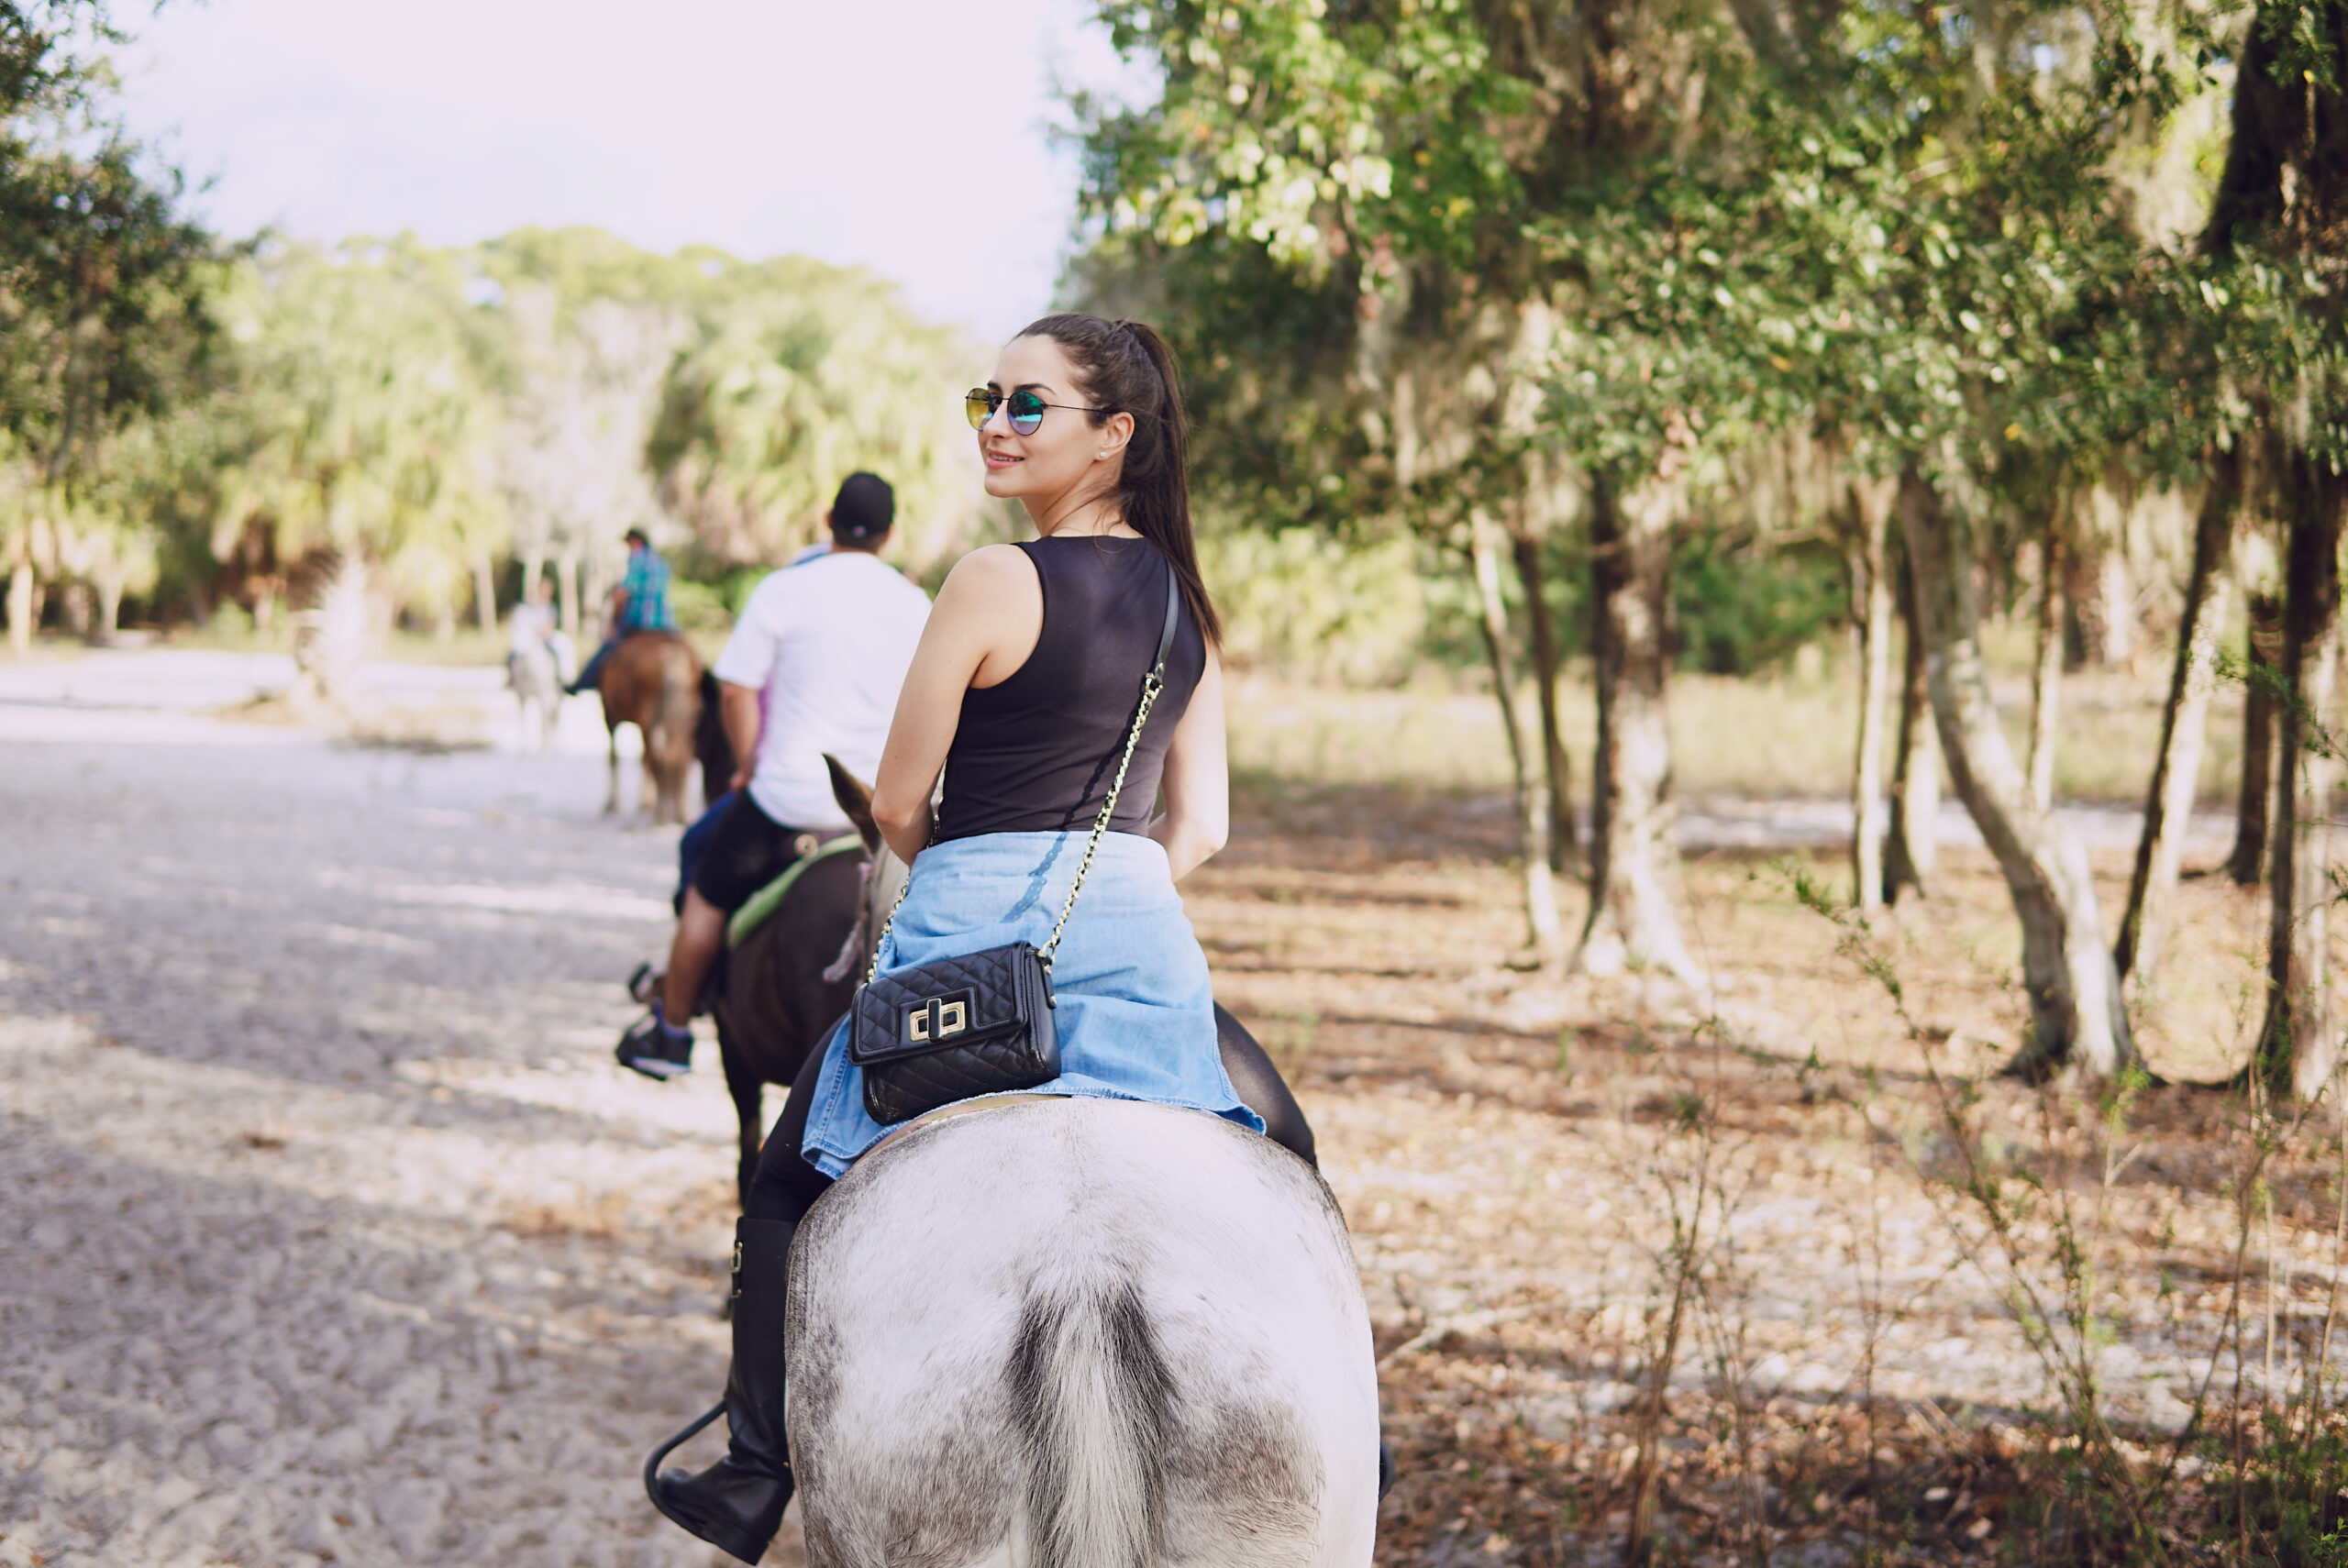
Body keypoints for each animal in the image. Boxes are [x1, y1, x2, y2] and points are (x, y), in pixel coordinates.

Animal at [596, 629, 694, 826]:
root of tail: (672, 651)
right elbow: (642, 760)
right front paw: (645, 802)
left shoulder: (609, 715)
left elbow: (614, 758)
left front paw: (611, 804)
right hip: (684, 716)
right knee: (680, 757)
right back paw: (680, 811)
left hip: (647, 717)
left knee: (657, 759)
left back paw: (661, 813)